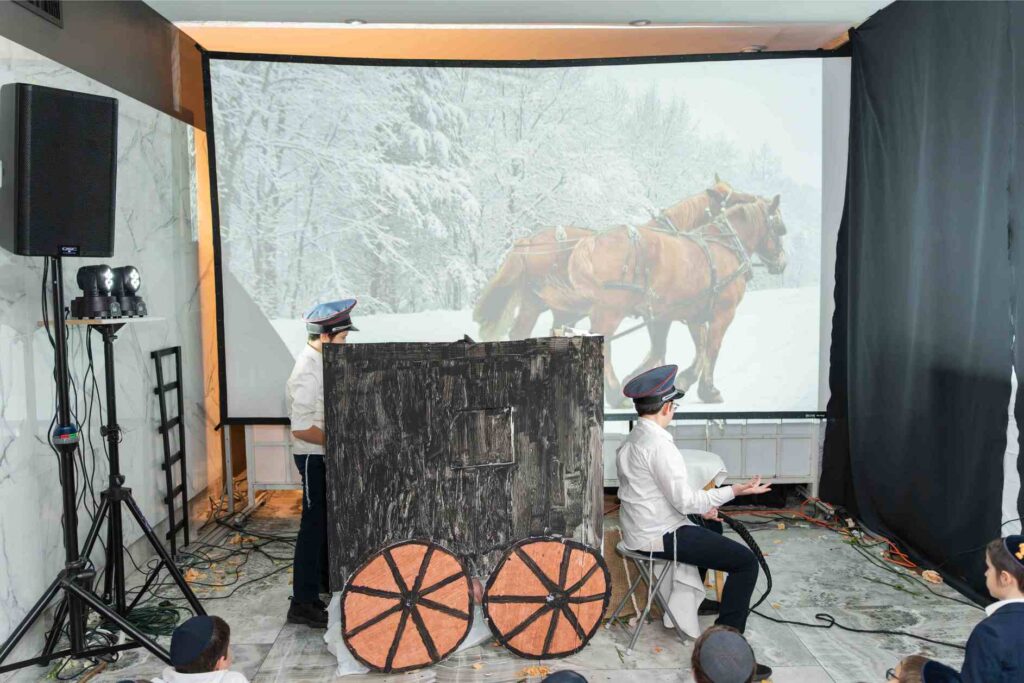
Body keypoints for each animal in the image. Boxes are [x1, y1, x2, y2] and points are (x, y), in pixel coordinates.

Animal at [568, 195, 788, 405]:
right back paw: (614, 393)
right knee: (603, 342)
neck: (725, 248)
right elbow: (711, 348)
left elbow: (690, 348)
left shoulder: (685, 315)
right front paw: (708, 390)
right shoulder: (723, 314)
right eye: (779, 229)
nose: (783, 262)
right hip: (612, 310)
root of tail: (593, 240)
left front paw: (680, 379)